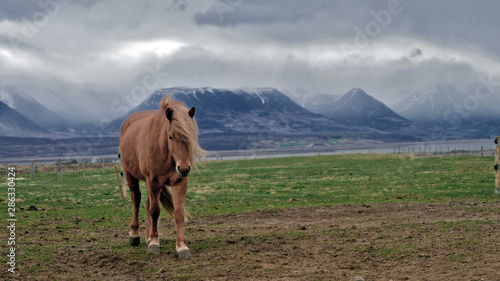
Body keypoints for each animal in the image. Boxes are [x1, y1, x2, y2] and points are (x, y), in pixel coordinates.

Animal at [119, 94, 205, 256]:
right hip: (130, 175)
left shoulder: (180, 183)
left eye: (190, 136)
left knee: (147, 203)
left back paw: (147, 236)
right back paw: (135, 235)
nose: (184, 168)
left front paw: (182, 246)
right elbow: (154, 211)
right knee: (136, 199)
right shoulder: (153, 181)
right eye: (170, 137)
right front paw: (154, 243)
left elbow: (178, 213)